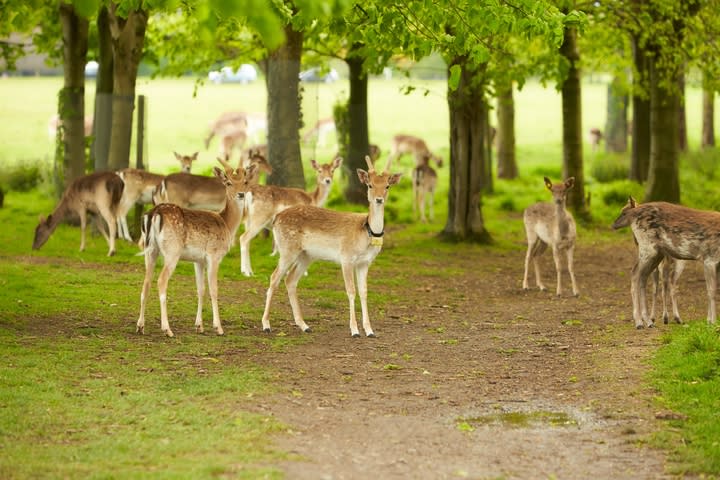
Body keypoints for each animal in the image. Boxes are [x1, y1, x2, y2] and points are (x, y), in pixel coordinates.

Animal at [136, 163, 252, 336]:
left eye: (245, 182)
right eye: (228, 183)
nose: (241, 194)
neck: (227, 224)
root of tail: (154, 214)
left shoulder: (198, 260)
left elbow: (200, 289)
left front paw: (199, 326)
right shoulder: (214, 255)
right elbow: (214, 289)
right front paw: (218, 328)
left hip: (150, 250)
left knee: (146, 283)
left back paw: (140, 326)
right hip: (172, 251)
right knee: (161, 281)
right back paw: (167, 329)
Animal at [260, 155, 404, 338]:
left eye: (387, 185)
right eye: (370, 185)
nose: (379, 199)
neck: (366, 233)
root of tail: (276, 218)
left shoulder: (365, 263)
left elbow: (364, 292)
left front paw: (370, 330)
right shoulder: (346, 257)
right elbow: (351, 291)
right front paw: (354, 331)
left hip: (306, 255)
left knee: (290, 280)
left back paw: (304, 325)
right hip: (287, 249)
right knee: (274, 277)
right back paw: (266, 324)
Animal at [612, 197, 712, 328]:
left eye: (624, 212)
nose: (613, 225)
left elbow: (658, 288)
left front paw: (657, 317)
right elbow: (662, 287)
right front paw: (662, 317)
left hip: (664, 261)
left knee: (657, 281)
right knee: (665, 282)